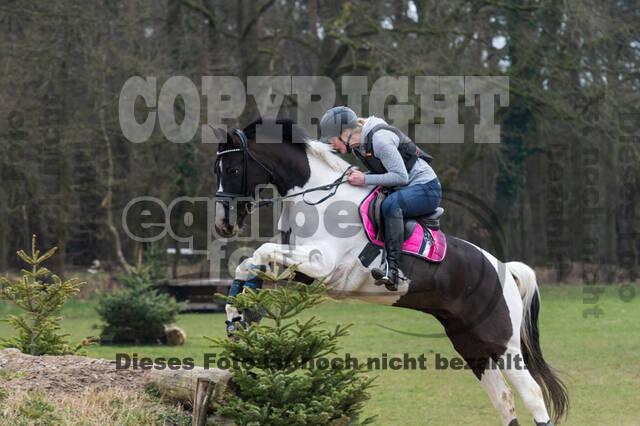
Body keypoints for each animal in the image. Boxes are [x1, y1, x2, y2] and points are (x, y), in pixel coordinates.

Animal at [214, 117, 568, 426]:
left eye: (232, 169)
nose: (223, 224)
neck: (318, 197)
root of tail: (505, 270)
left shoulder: (323, 264)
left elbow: (260, 252)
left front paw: (246, 312)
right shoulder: (306, 273)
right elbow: (250, 263)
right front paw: (238, 315)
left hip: (501, 342)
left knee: (532, 394)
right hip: (469, 342)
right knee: (503, 399)